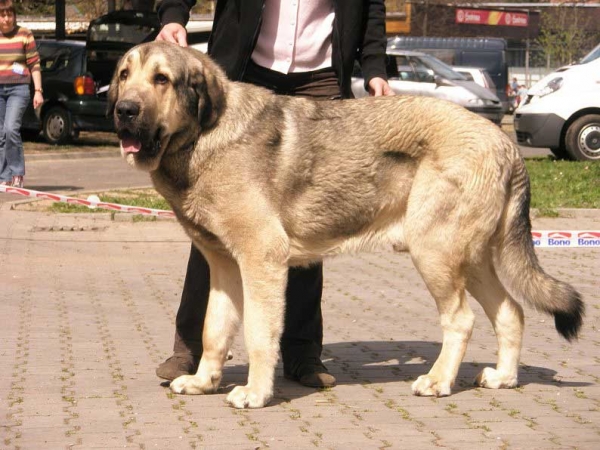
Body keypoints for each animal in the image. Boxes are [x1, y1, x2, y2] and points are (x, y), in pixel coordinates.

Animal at [108, 41, 580, 408]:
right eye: (124, 75)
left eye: (162, 79)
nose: (124, 110)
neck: (204, 137)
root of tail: (505, 142)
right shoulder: (223, 266)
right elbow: (213, 331)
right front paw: (204, 382)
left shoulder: (262, 259)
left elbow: (260, 333)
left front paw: (255, 393)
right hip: (471, 259)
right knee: (511, 311)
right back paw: (503, 377)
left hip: (436, 253)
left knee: (461, 320)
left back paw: (438, 381)